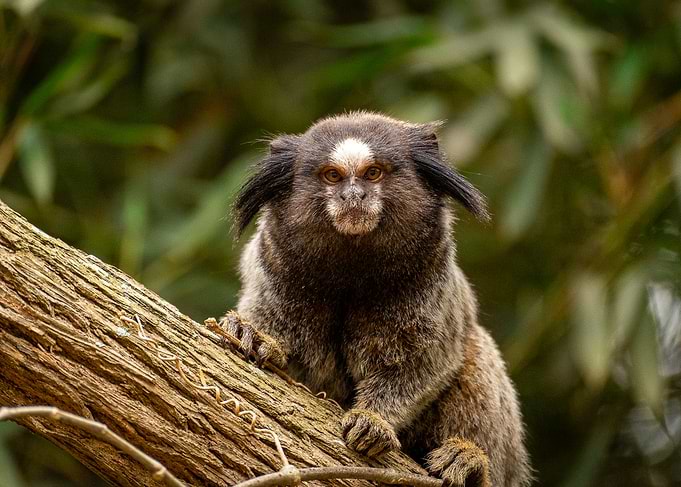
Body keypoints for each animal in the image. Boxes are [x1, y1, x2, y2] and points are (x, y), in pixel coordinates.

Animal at [221, 111, 532, 486]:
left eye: (373, 173)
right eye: (332, 175)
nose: (353, 195)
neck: (352, 272)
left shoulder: (431, 281)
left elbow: (422, 365)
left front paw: (374, 421)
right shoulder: (272, 267)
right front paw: (253, 337)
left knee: (477, 351)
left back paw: (471, 463)